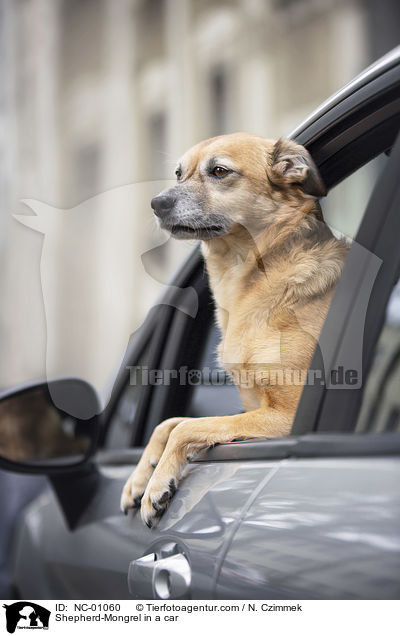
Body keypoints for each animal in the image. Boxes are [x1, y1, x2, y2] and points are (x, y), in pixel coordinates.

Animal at [120, 133, 348, 528]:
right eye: (178, 173)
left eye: (219, 171)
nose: (156, 203)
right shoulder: (251, 408)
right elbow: (170, 422)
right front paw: (139, 477)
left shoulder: (286, 416)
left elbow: (184, 428)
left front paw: (157, 485)